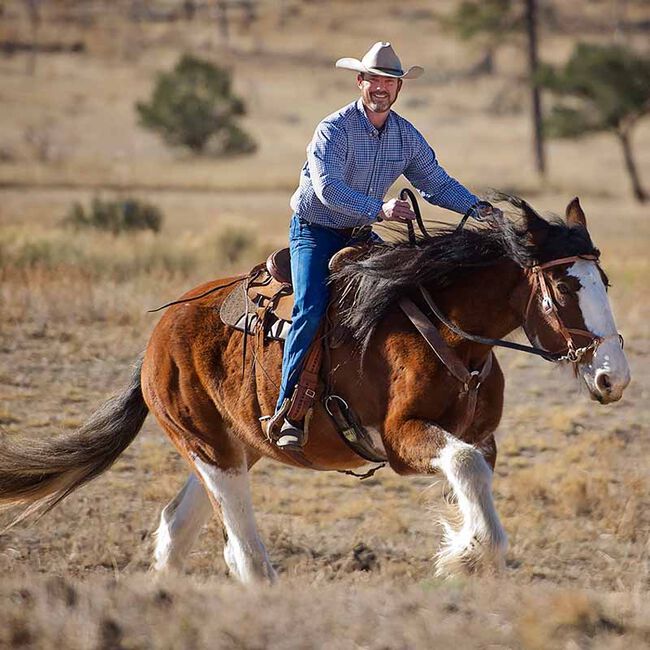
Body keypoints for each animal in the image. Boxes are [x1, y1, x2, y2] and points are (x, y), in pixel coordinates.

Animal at [0, 196, 630, 583]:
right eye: (563, 287)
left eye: (605, 280)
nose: (614, 377)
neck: (449, 330)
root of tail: (159, 333)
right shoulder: (402, 440)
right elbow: (466, 470)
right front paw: (466, 554)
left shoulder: (481, 436)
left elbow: (474, 484)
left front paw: (465, 553)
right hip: (210, 449)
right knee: (243, 550)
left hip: (232, 447)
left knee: (176, 529)